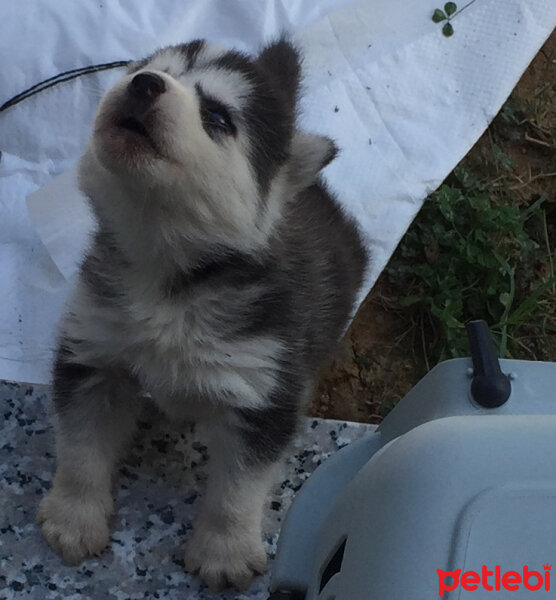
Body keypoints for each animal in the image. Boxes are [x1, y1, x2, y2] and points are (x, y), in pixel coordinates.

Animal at [39, 38, 370, 592]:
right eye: (148, 70)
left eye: (217, 116)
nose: (143, 84)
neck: (167, 275)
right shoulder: (94, 353)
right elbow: (81, 449)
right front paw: (74, 517)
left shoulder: (262, 391)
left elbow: (238, 488)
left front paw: (225, 551)